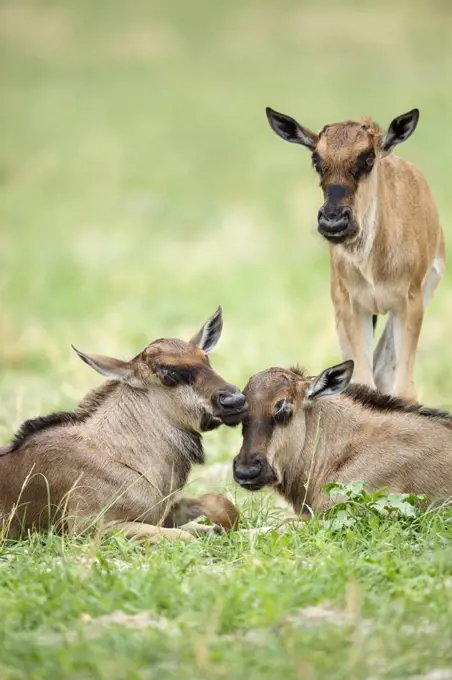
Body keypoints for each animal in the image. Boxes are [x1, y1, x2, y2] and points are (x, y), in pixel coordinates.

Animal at [0, 308, 247, 540]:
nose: (235, 401)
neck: (121, 457)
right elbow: (186, 536)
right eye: (168, 374)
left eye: (206, 359)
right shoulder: (90, 529)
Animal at [264, 106, 444, 404]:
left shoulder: (411, 301)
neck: (373, 263)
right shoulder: (350, 304)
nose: (334, 222)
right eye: (316, 159)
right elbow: (362, 383)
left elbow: (404, 390)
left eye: (368, 158)